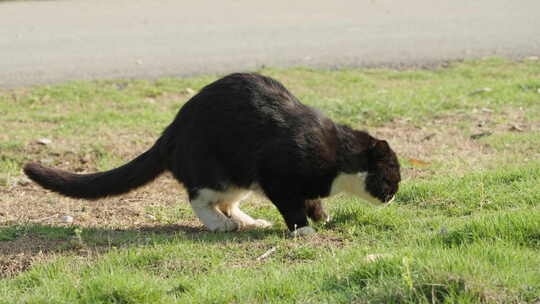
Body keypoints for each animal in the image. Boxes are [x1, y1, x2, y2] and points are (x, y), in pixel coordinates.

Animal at [23, 73, 398, 235]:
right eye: (391, 178)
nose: (395, 195)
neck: (336, 166)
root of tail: (172, 129)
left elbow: (311, 201)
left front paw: (322, 217)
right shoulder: (277, 175)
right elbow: (293, 207)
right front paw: (303, 231)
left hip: (239, 178)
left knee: (228, 203)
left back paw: (248, 221)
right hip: (214, 170)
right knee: (199, 199)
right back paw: (220, 224)